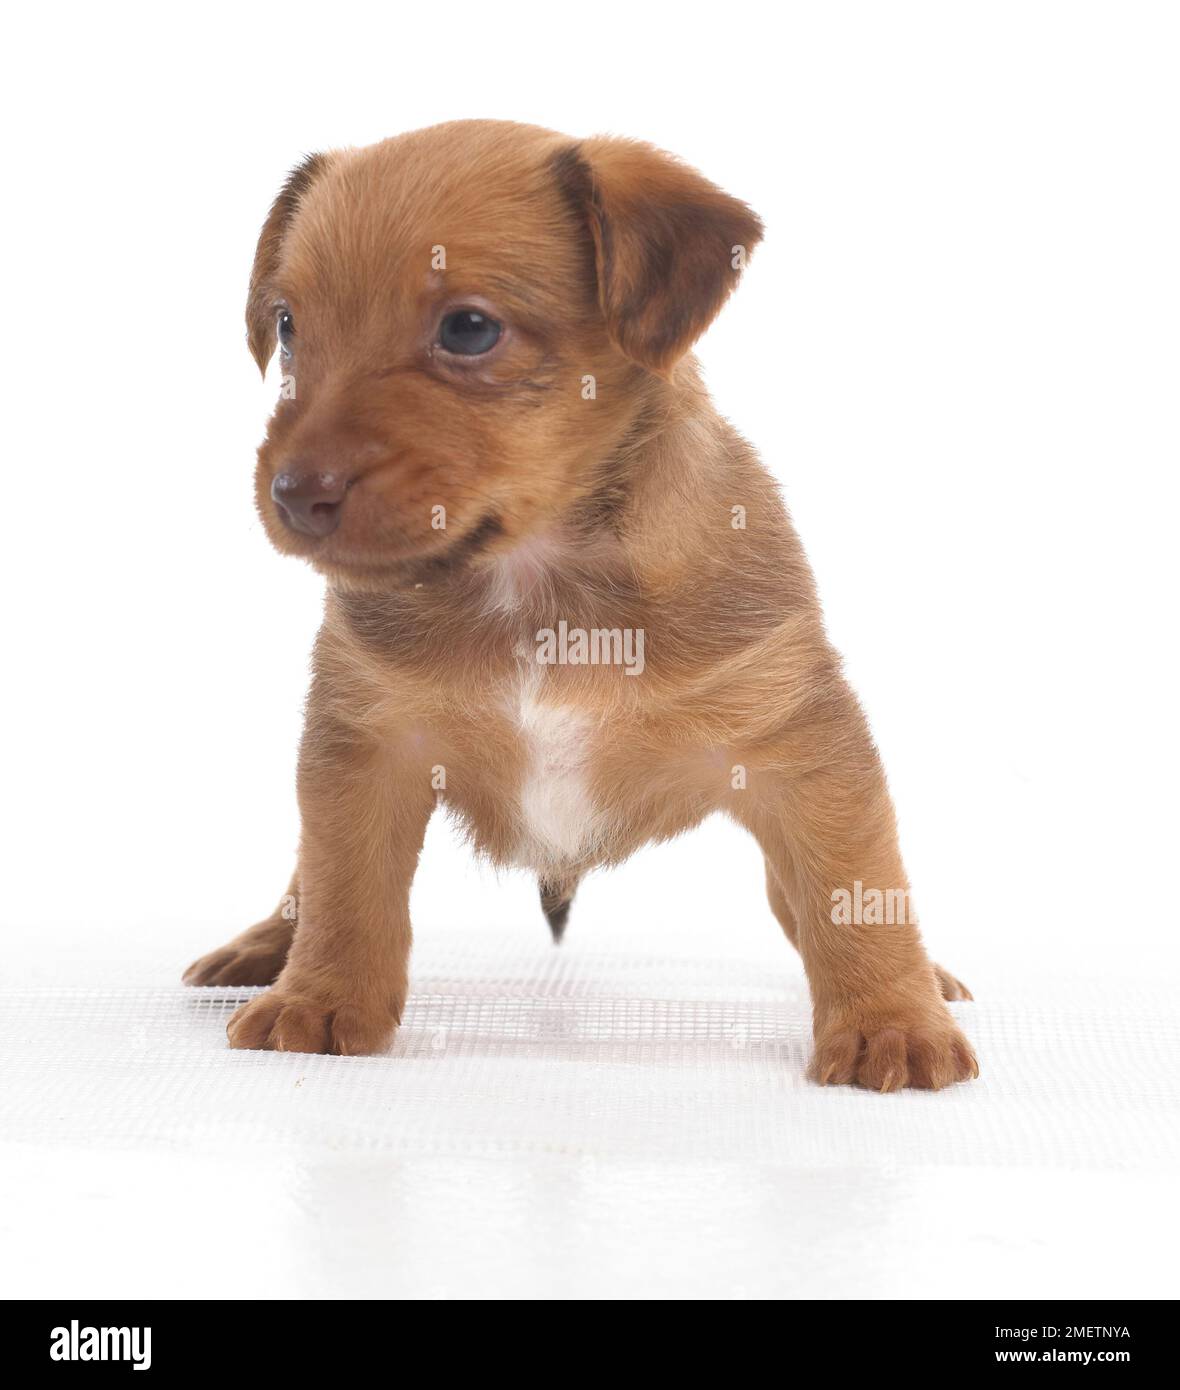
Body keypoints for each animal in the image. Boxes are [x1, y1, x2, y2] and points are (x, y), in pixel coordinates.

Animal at [183, 119, 978, 1089]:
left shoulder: (803, 750)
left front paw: (889, 1020)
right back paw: (264, 947)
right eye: (289, 328)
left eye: (470, 329)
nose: (294, 495)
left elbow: (851, 893)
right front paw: (321, 998)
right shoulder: (363, 749)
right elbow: (343, 890)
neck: (536, 585)